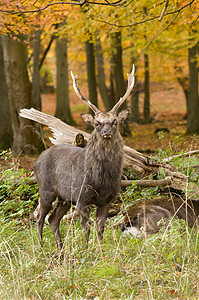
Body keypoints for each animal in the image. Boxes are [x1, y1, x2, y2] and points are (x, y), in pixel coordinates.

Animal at [33, 67, 135, 250]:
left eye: (115, 122)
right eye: (96, 123)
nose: (107, 132)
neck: (101, 179)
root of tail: (36, 161)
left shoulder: (107, 199)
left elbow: (100, 228)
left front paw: (100, 251)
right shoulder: (81, 197)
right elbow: (86, 228)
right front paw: (86, 251)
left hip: (64, 198)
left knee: (53, 219)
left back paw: (60, 248)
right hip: (46, 189)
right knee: (39, 216)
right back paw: (41, 247)